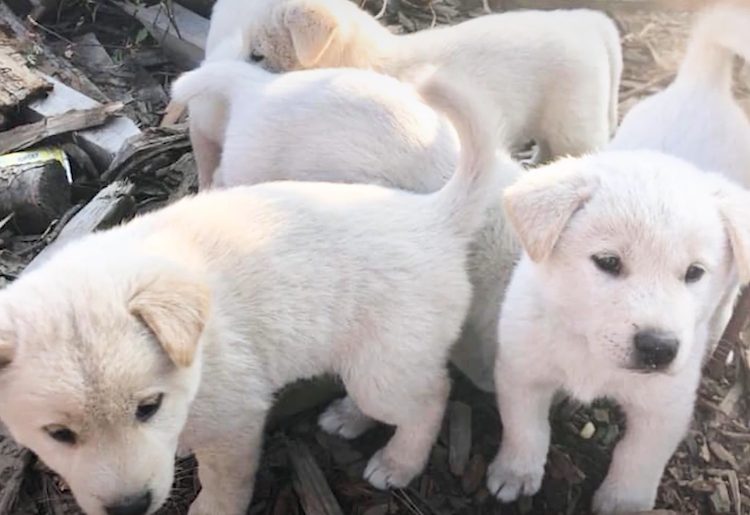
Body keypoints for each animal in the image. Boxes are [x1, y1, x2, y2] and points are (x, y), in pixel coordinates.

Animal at [0, 76, 516, 515]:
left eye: (148, 408)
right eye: (59, 434)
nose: (130, 508)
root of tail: (433, 215)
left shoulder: (236, 422)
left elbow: (224, 481)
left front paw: (209, 508)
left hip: (386, 367)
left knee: (430, 400)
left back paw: (398, 463)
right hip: (378, 361)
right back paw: (348, 417)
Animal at [488, 3, 750, 512]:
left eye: (694, 273)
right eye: (608, 262)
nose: (660, 348)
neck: (589, 347)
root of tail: (702, 83)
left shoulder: (664, 407)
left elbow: (637, 459)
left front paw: (623, 500)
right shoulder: (521, 369)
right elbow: (526, 429)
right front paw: (515, 473)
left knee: (728, 299)